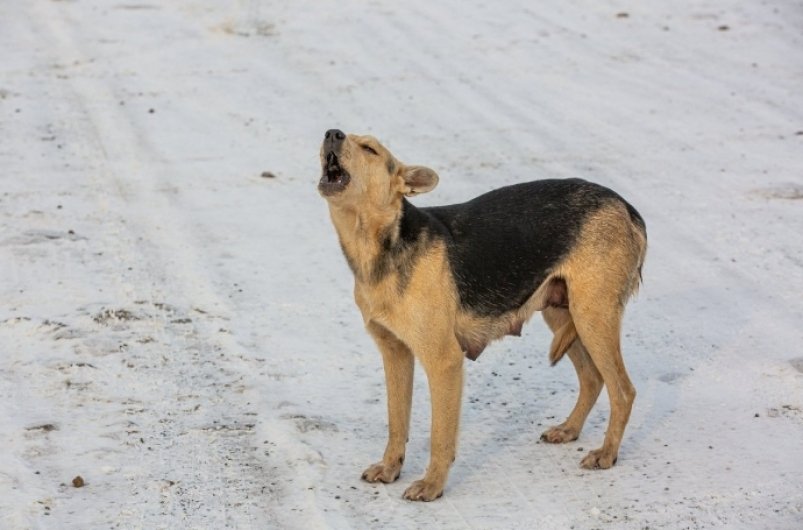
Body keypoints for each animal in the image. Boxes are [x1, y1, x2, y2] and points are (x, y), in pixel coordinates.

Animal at [318, 128, 648, 500]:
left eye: (369, 149)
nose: (332, 133)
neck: (379, 245)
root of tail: (626, 207)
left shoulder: (444, 361)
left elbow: (440, 436)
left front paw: (432, 485)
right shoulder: (395, 354)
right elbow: (396, 421)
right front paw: (390, 468)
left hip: (592, 317)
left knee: (623, 390)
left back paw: (607, 454)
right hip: (564, 314)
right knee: (593, 378)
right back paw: (569, 430)